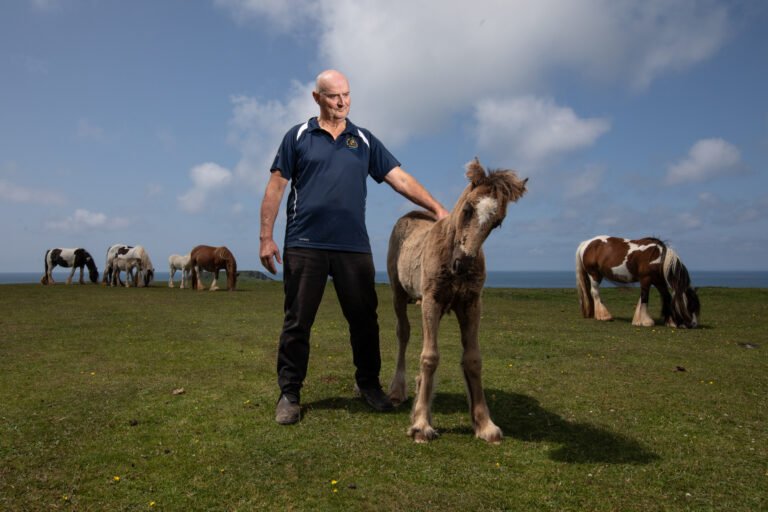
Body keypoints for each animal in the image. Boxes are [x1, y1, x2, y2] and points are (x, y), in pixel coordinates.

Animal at [387, 158, 528, 443]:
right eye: (467, 209)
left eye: (498, 222)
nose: (461, 264)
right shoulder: (431, 300)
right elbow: (430, 356)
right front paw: (421, 425)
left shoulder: (471, 304)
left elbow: (473, 359)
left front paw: (484, 424)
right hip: (399, 293)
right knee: (403, 333)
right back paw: (398, 391)